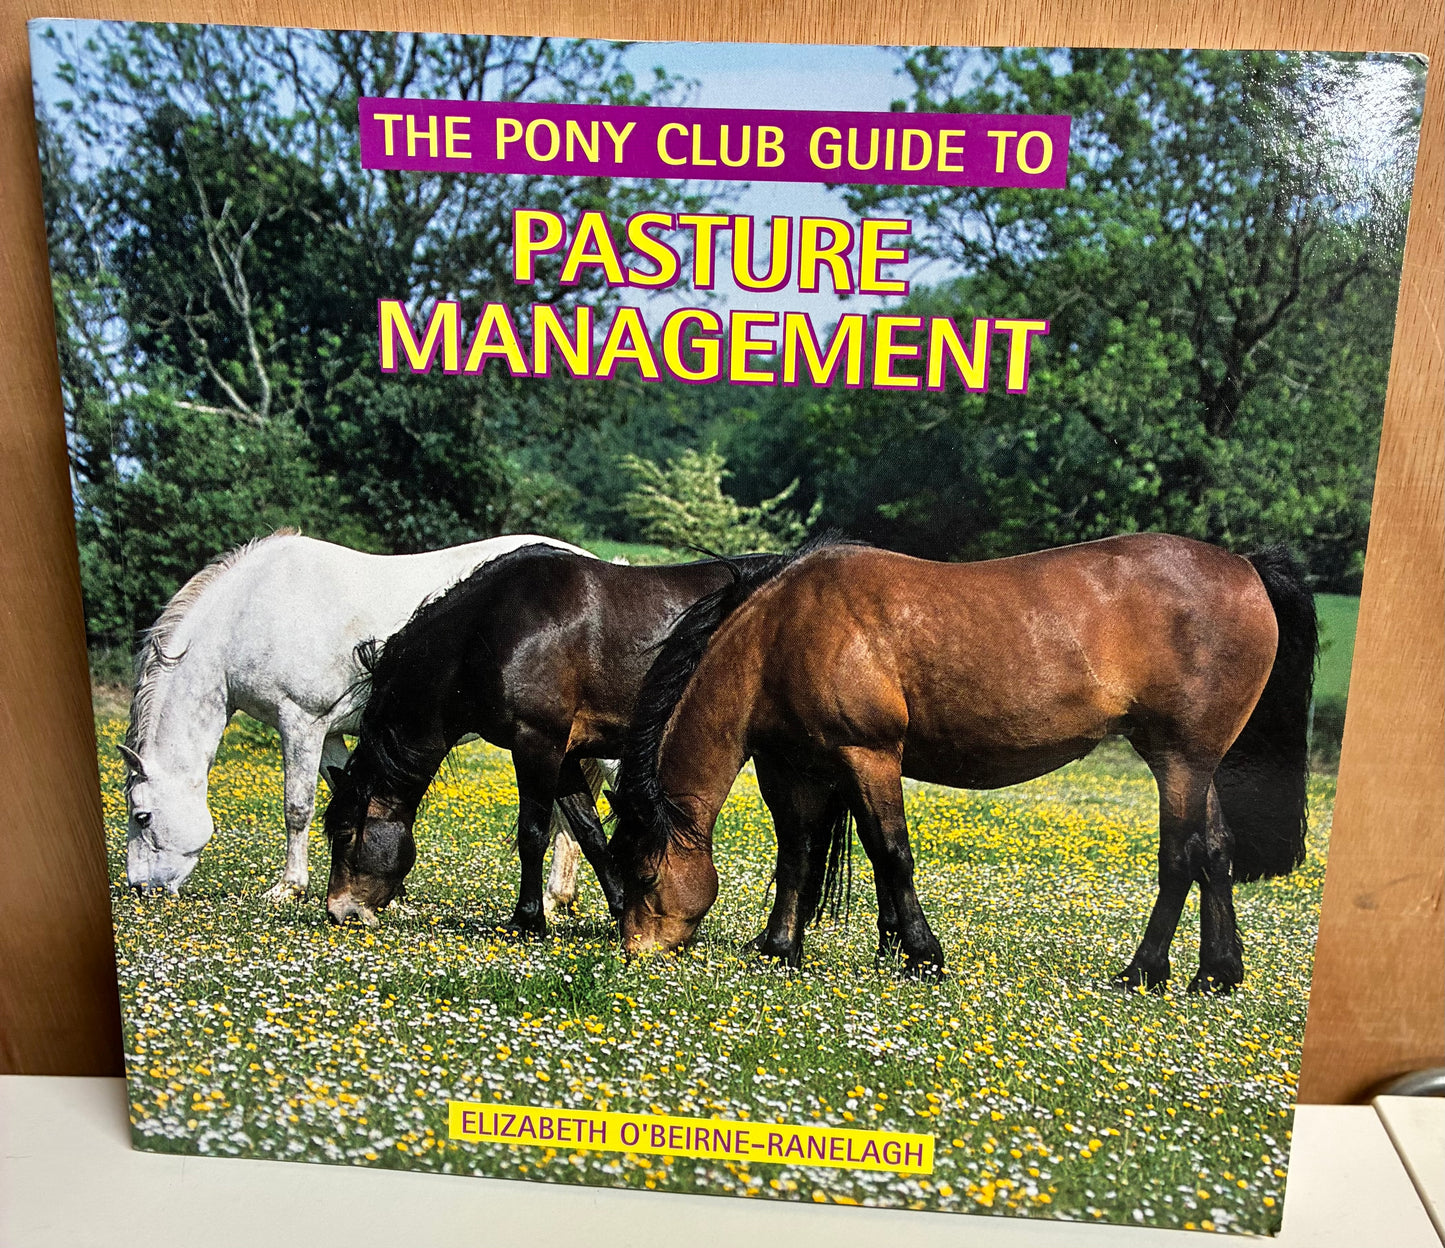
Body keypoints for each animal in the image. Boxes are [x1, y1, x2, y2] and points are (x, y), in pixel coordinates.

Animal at [119, 530, 589, 900]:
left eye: (142, 816)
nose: (140, 888)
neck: (250, 614)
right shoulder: (328, 733)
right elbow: (348, 790)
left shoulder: (301, 723)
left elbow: (297, 806)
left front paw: (289, 887)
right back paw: (558, 898)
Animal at [322, 544, 786, 934]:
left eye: (343, 835)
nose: (340, 913)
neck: (494, 628)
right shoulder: (565, 755)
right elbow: (591, 834)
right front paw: (622, 909)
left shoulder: (537, 744)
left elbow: (532, 834)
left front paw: (528, 920)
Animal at [610, 534, 1316, 992]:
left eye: (642, 876)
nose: (634, 953)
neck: (785, 628)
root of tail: (1244, 565)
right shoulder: (795, 768)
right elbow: (798, 859)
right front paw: (781, 951)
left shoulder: (868, 755)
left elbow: (890, 853)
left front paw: (922, 956)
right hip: (1200, 764)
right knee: (1215, 852)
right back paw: (1217, 974)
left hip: (1177, 761)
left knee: (1179, 858)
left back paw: (1143, 972)